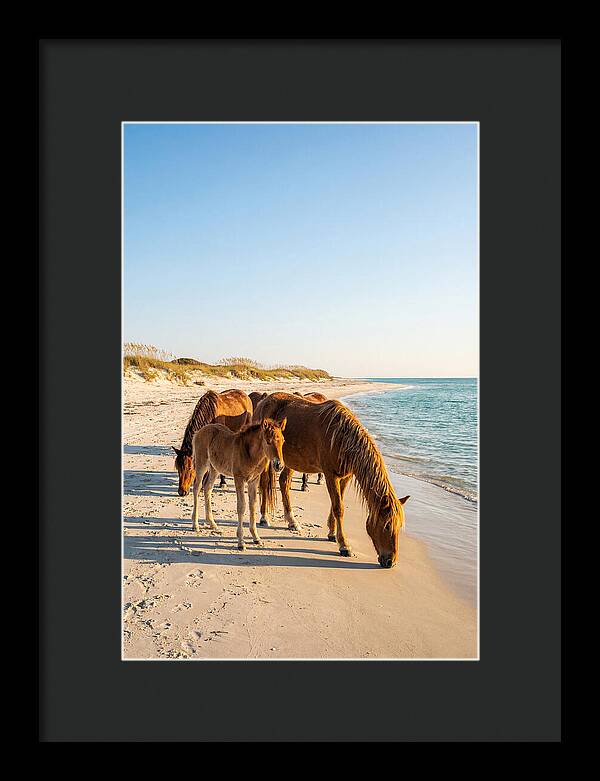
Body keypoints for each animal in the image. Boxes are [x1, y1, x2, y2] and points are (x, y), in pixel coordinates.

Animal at [191, 418, 286, 550]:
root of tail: (199, 431)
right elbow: (241, 506)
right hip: (201, 464)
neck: (250, 454)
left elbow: (253, 505)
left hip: (215, 468)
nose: (279, 465)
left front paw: (256, 537)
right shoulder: (239, 479)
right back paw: (195, 525)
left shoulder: (253, 480)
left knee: (207, 488)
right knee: (196, 487)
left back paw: (212, 523)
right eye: (268, 441)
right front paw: (241, 542)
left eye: (283, 441)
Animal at [254, 393, 409, 568]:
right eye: (387, 525)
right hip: (267, 458)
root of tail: (264, 401)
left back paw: (292, 521)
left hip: (290, 461)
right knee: (264, 483)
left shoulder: (345, 477)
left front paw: (332, 533)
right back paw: (264, 517)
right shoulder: (330, 475)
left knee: (284, 482)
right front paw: (344, 545)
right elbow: (338, 508)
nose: (391, 562)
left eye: (399, 526)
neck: (342, 438)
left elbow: (336, 504)